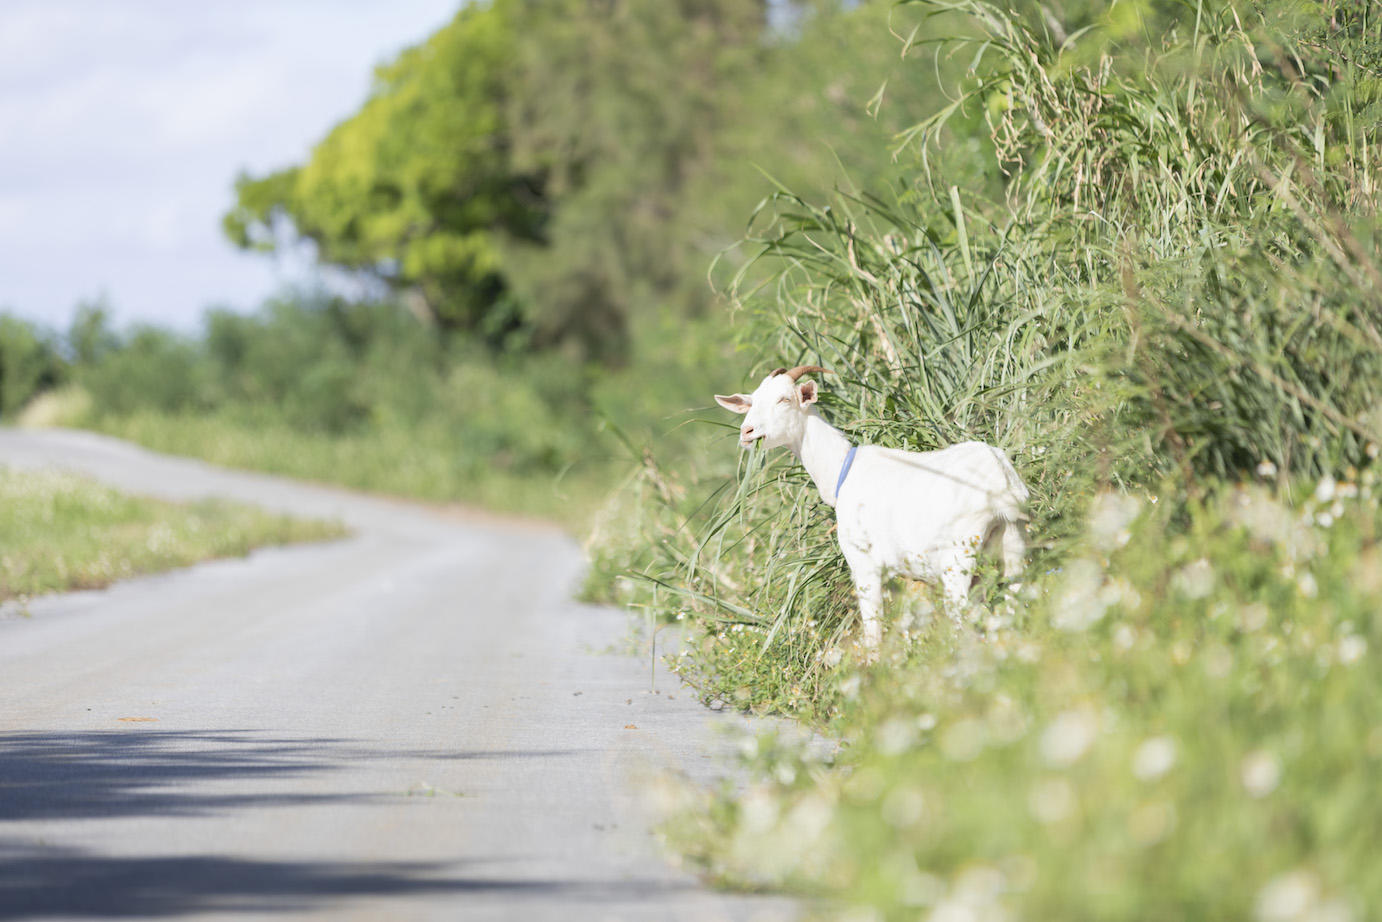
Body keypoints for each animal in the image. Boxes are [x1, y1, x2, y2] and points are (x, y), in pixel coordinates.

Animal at [715, 365, 1029, 649]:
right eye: (752, 401)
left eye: (784, 399)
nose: (747, 431)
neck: (842, 471)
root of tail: (999, 478)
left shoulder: (864, 564)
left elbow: (873, 630)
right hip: (1013, 545)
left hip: (958, 556)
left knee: (962, 617)